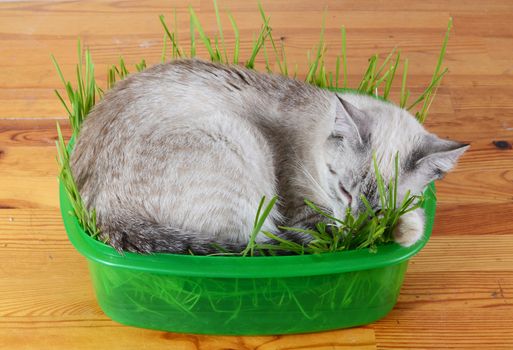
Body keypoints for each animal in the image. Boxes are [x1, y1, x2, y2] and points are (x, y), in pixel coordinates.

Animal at [69, 58, 468, 254]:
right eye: (344, 191)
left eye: (381, 208)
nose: (358, 226)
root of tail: (101, 213)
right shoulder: (307, 213)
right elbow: (328, 231)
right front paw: (388, 234)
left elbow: (411, 216)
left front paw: (402, 228)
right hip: (237, 143)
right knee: (257, 243)